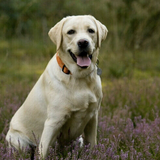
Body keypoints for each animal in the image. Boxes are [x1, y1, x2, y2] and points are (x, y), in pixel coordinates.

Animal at [5, 15, 108, 159]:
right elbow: (42, 152)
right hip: (19, 142)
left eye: (91, 31)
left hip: (79, 140)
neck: (79, 77)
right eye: (71, 32)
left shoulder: (92, 118)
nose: (83, 42)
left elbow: (93, 146)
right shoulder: (53, 121)